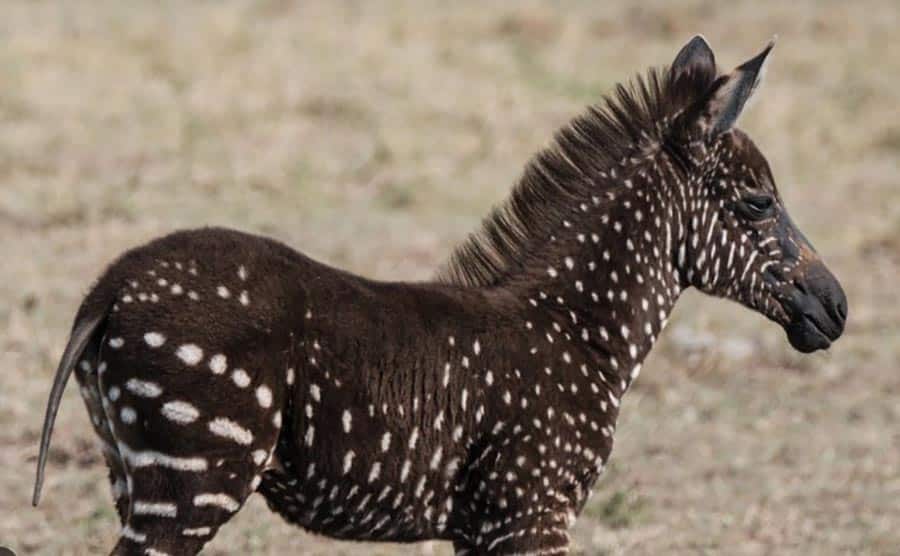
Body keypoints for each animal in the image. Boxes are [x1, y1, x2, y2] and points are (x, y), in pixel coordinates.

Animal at [33, 35, 844, 556]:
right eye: (757, 204)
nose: (836, 309)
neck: (576, 330)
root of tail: (112, 283)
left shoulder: (487, 527)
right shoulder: (532, 512)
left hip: (133, 474)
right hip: (191, 483)